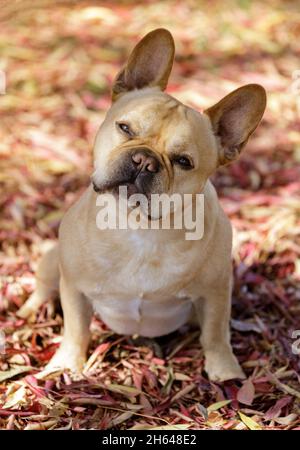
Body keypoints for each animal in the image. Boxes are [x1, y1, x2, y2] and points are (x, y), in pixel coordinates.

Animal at [18, 28, 268, 380]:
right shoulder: (75, 289)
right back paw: (31, 310)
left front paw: (225, 371)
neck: (138, 227)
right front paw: (67, 364)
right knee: (44, 285)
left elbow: (216, 334)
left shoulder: (216, 291)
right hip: (54, 261)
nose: (144, 160)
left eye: (183, 161)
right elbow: (76, 329)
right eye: (125, 128)